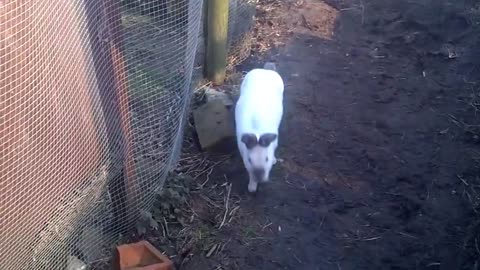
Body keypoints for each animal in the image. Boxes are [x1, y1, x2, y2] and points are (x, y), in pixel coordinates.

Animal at [234, 61, 284, 192]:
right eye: (250, 160)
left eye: (266, 158)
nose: (260, 177)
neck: (256, 132)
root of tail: (265, 70)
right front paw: (252, 188)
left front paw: (274, 161)